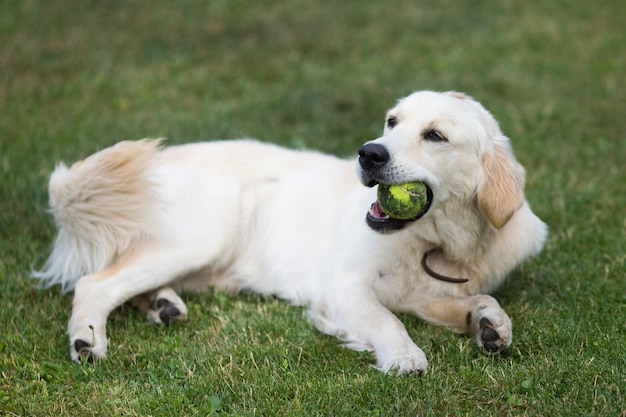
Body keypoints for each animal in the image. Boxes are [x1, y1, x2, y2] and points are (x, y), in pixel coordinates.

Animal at [34, 90, 544, 374]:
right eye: (392, 121)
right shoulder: (345, 289)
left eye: (435, 135)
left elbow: (476, 299)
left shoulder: (423, 292)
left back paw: (163, 304)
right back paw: (87, 340)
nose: (369, 153)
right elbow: (388, 321)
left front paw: (488, 324)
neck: (437, 243)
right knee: (95, 282)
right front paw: (404, 355)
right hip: (205, 235)